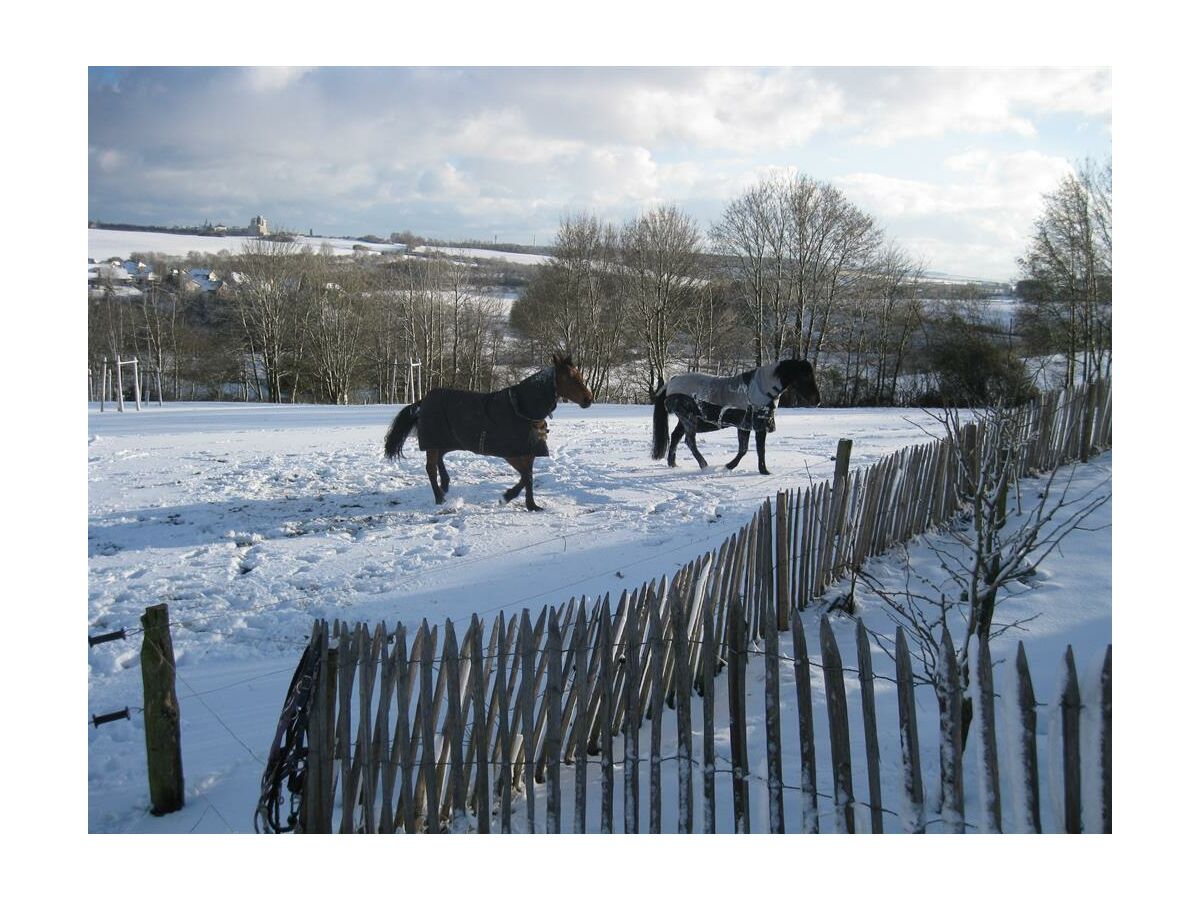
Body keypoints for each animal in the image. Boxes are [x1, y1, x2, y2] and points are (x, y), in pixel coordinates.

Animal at [381, 355, 592, 511]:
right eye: (570, 377)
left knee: (440, 458)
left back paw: (445, 485)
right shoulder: (511, 454)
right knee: (430, 468)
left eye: (579, 375)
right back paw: (440, 497)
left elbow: (528, 478)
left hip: (450, 441)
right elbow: (526, 477)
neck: (522, 408)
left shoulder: (529, 452)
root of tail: (422, 401)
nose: (588, 399)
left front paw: (532, 505)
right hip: (434, 441)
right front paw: (506, 497)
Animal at [652, 360, 820, 475]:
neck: (761, 389)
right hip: (688, 419)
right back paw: (704, 465)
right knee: (690, 441)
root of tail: (673, 380)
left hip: (685, 419)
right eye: (805, 376)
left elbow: (751, 450)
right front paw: (734, 466)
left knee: (675, 437)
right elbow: (752, 449)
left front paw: (758, 470)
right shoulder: (753, 425)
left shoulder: (750, 426)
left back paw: (673, 464)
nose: (817, 400)